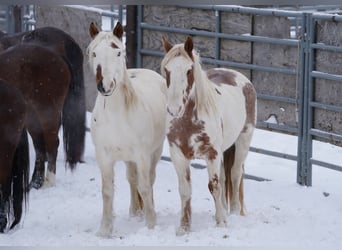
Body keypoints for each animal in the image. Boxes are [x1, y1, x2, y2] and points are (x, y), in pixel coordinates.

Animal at [0, 26, 85, 188]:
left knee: (52, 143)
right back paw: (35, 183)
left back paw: (49, 181)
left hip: (48, 111)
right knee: (40, 145)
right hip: (32, 115)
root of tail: (57, 57)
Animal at [87, 22, 167, 236]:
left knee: (149, 180)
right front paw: (104, 230)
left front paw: (151, 224)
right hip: (128, 158)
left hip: (155, 152)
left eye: (118, 52)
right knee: (132, 180)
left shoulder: (142, 155)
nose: (105, 86)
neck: (117, 116)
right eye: (94, 53)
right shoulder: (104, 157)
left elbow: (145, 187)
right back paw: (135, 212)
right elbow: (107, 191)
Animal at [161, 36, 256, 235]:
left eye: (189, 70)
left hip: (243, 140)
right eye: (167, 70)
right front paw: (184, 227)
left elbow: (214, 186)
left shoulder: (211, 153)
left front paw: (221, 223)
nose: (174, 109)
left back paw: (234, 211)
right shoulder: (178, 155)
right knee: (225, 176)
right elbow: (185, 189)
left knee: (235, 174)